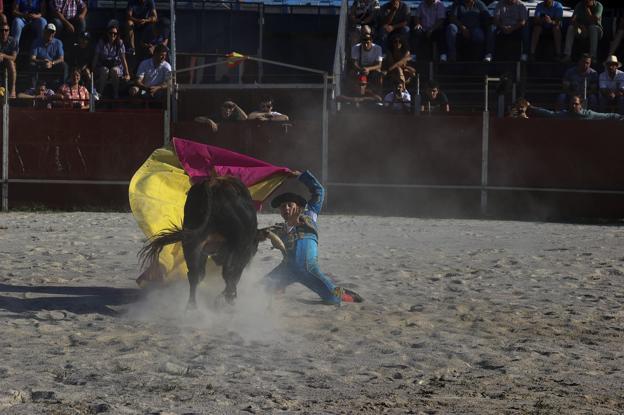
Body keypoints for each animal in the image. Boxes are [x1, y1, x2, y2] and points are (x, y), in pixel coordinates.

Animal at [141, 176, 272, 308]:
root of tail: (214, 183)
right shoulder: (241, 253)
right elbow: (234, 276)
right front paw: (228, 297)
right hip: (235, 246)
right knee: (227, 274)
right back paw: (226, 300)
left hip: (192, 243)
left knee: (195, 275)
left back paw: (192, 308)